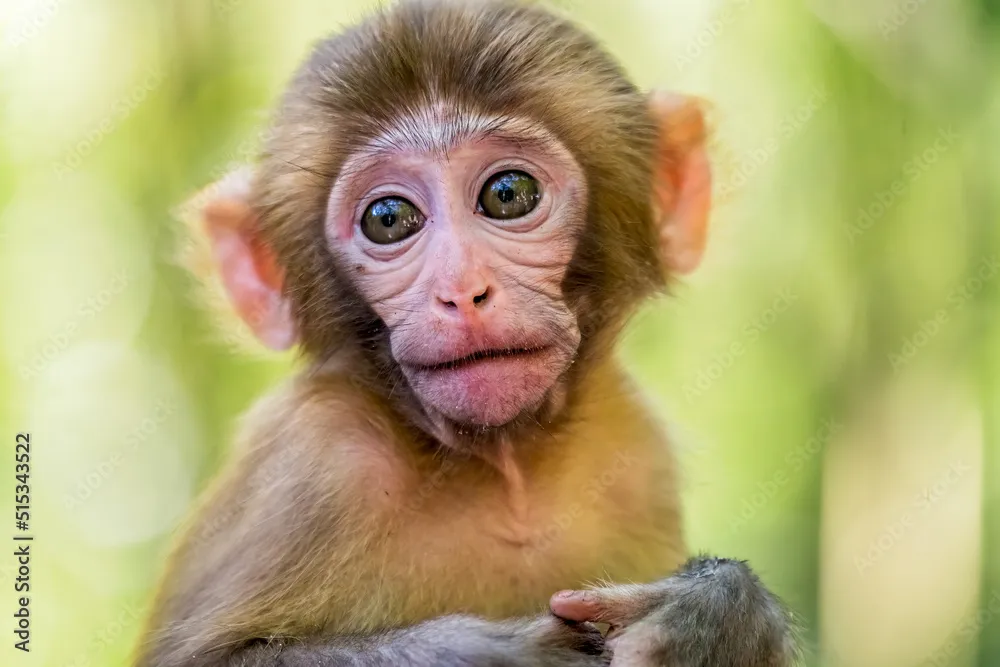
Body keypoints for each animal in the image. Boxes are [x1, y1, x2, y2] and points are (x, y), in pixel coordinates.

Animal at [135, 1, 798, 665]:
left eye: (508, 194)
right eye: (388, 219)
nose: (462, 290)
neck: (506, 476)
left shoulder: (638, 454)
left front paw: (715, 618)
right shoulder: (314, 461)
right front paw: (496, 651)